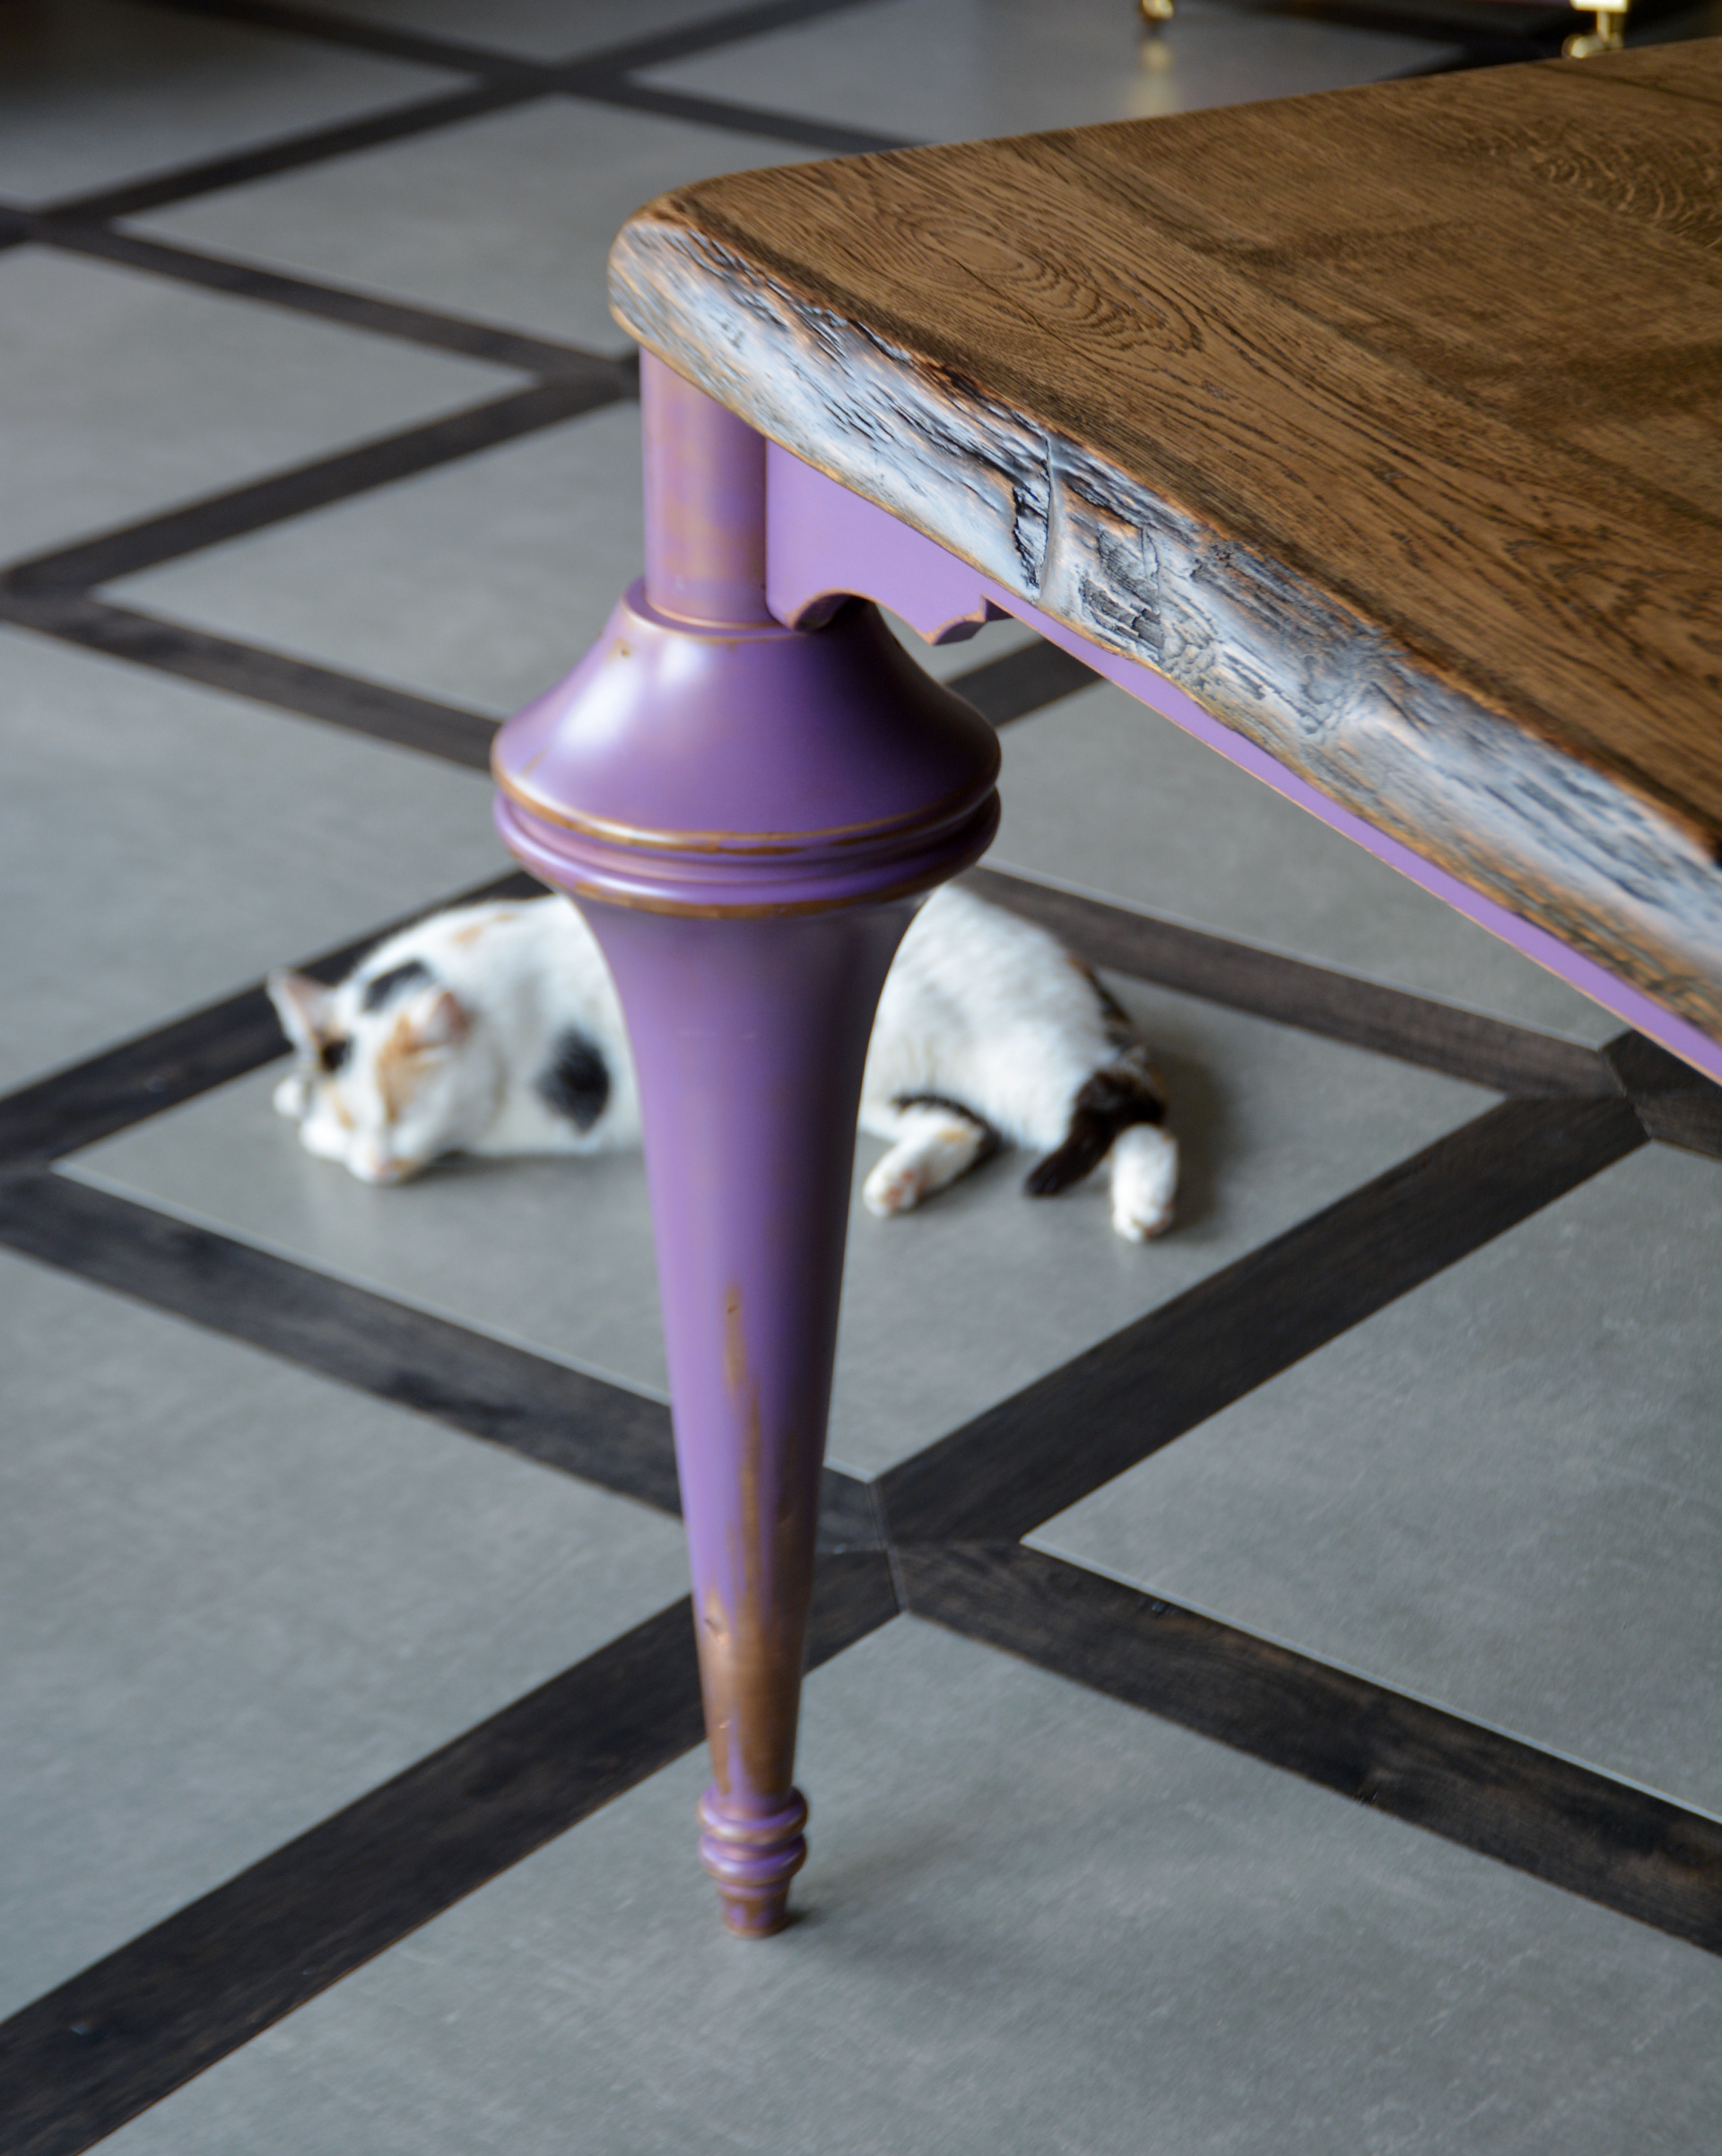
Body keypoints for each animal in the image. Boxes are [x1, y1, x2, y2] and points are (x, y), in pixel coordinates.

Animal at [268, 884, 1178, 1240]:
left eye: (403, 1115)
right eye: (347, 1126)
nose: (376, 1169)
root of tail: (1077, 966)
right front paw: (291, 1095)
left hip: (1029, 1064)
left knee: (1140, 1114)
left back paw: (1144, 1207)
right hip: (864, 1088)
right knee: (964, 1129)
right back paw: (897, 1183)